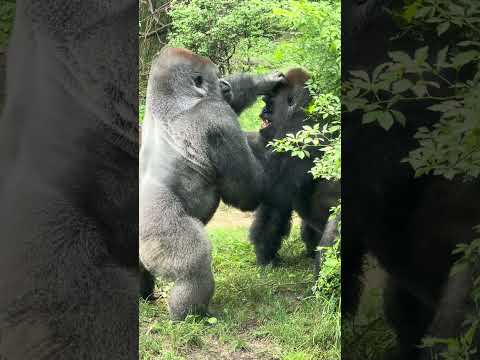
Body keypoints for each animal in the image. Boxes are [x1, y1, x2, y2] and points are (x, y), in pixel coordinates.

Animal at [141, 47, 286, 320]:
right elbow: (246, 192)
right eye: (215, 76)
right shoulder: (215, 116)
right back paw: (190, 313)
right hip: (154, 227)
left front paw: (263, 81)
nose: (225, 84)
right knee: (193, 262)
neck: (172, 99)